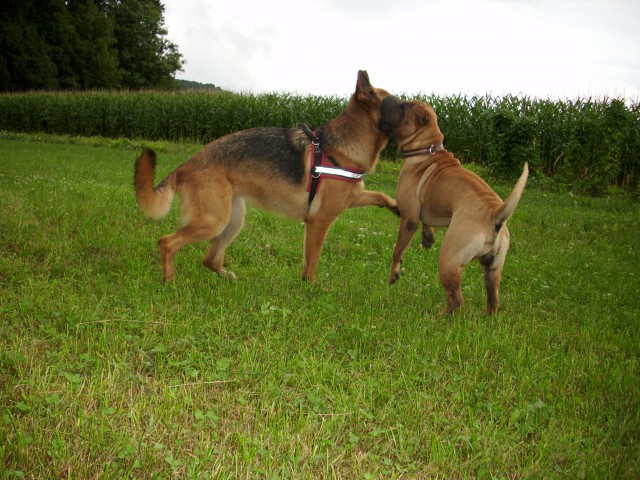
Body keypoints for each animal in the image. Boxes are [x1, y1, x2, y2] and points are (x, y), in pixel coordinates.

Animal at [134, 71, 398, 282]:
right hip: (213, 221)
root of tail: (186, 165)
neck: (341, 147)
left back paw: (227, 277)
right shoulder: (319, 221)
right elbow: (312, 261)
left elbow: (380, 195)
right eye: (396, 103)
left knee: (209, 260)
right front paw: (311, 287)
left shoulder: (352, 198)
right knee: (167, 242)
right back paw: (170, 281)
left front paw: (397, 207)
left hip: (232, 221)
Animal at [378, 97, 528, 316]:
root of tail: (495, 215)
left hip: (448, 261)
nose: (386, 98)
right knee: (493, 301)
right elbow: (426, 221)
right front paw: (428, 238)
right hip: (493, 269)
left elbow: (397, 250)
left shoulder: (409, 218)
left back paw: (439, 317)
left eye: (403, 106)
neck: (427, 148)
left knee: (457, 299)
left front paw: (394, 274)